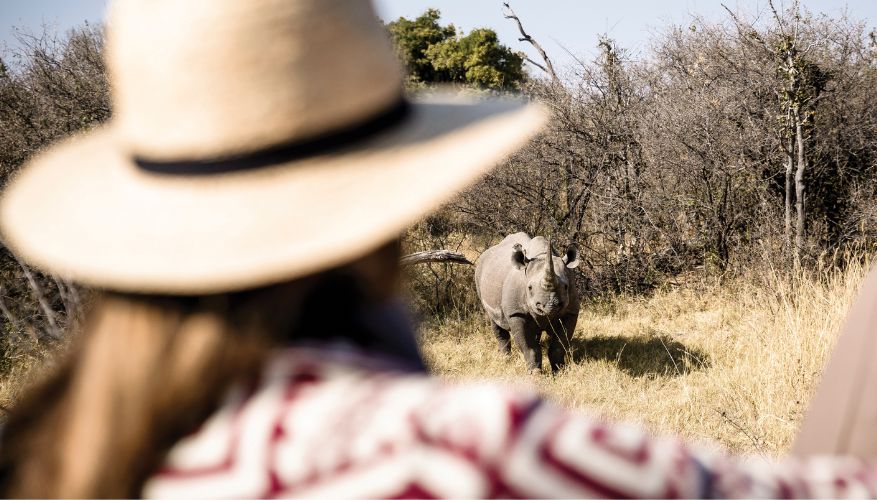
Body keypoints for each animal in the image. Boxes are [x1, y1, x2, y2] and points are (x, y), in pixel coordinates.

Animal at [475, 232, 581, 373]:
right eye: (529, 288)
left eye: (565, 287)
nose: (550, 306)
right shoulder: (517, 313)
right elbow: (529, 347)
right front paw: (535, 374)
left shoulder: (570, 312)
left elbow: (559, 345)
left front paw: (559, 371)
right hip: (479, 272)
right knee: (495, 320)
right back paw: (505, 359)